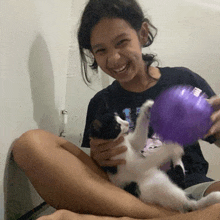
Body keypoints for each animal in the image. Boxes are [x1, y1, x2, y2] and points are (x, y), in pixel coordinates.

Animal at [89, 100, 220, 213]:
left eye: (120, 117)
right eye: (117, 126)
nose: (127, 124)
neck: (120, 141)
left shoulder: (134, 143)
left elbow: (140, 137)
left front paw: (147, 107)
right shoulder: (130, 165)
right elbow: (153, 158)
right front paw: (171, 147)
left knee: (179, 173)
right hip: (161, 190)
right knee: (191, 204)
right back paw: (213, 197)